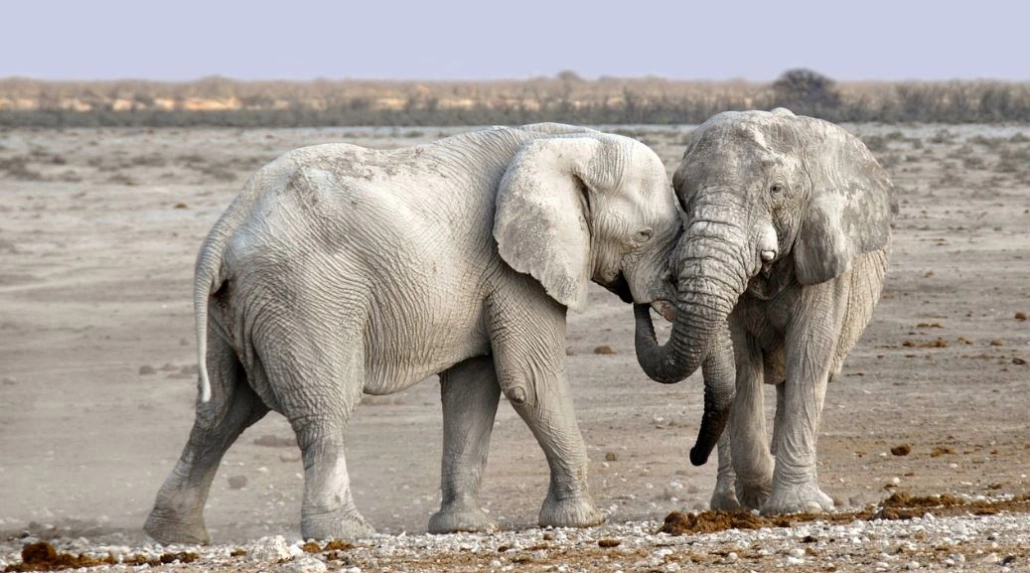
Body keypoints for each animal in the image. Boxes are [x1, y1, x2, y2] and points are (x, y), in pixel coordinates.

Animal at [144, 123, 685, 544]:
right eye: (642, 236)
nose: (642, 303)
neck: (567, 141)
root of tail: (225, 228)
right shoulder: (513, 270)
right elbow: (530, 381)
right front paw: (581, 520)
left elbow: (473, 389)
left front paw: (463, 528)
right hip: (304, 296)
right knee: (323, 406)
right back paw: (348, 533)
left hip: (238, 307)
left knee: (223, 411)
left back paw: (175, 535)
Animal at [634, 109, 897, 515]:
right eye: (681, 194)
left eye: (776, 190)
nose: (642, 302)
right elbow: (742, 363)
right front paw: (762, 492)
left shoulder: (823, 254)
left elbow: (809, 353)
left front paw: (798, 507)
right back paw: (729, 504)